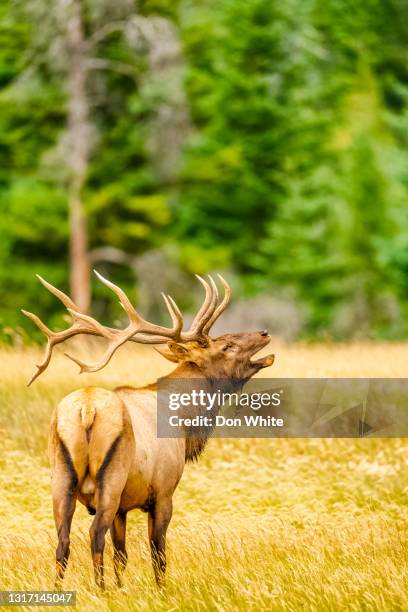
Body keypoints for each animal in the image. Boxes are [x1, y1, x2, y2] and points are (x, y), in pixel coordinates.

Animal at [23, 272, 276, 588]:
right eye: (225, 346)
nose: (264, 333)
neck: (184, 423)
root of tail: (87, 409)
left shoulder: (123, 507)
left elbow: (122, 554)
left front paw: (122, 587)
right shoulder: (164, 490)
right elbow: (158, 551)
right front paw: (161, 590)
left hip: (60, 477)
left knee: (63, 542)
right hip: (111, 478)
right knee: (95, 534)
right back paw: (100, 590)